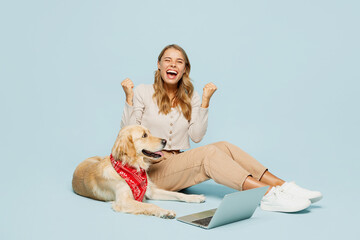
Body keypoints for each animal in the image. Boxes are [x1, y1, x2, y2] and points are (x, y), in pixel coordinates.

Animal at [71, 124, 205, 218]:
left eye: (150, 132)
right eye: (144, 135)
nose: (165, 141)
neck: (133, 167)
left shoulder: (151, 191)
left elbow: (177, 194)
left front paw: (194, 197)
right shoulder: (123, 201)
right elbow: (150, 205)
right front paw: (164, 212)